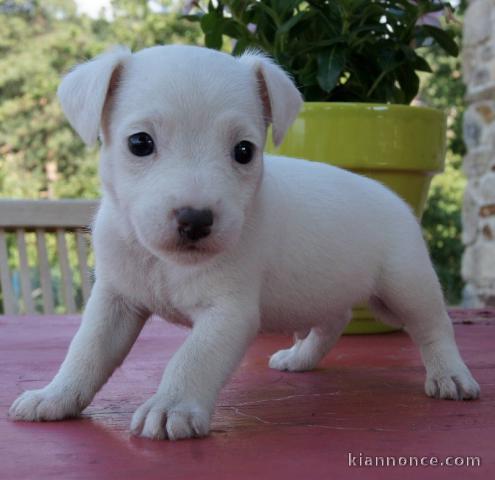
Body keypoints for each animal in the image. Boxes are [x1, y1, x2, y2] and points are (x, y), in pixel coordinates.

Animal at [8, 47, 480, 440]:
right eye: (139, 143)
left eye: (244, 151)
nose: (195, 220)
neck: (165, 261)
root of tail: (390, 196)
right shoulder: (115, 303)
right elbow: (86, 351)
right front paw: (55, 395)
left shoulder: (228, 314)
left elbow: (192, 357)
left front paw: (171, 405)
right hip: (326, 293)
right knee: (334, 320)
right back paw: (301, 357)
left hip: (406, 286)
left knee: (433, 328)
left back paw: (450, 375)